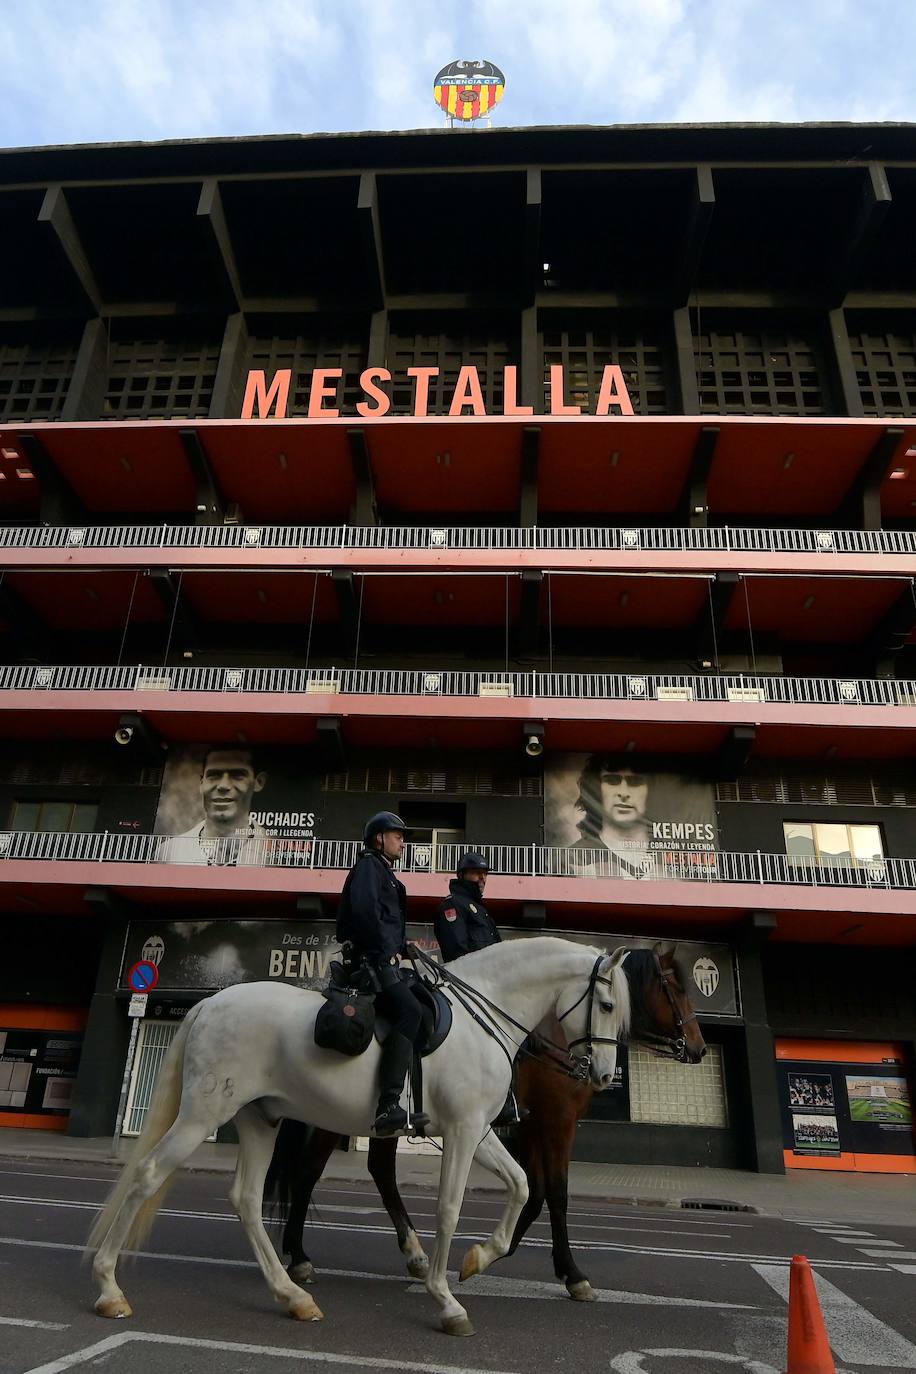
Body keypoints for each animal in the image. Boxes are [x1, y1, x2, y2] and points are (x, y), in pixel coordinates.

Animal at [87, 939, 631, 1335]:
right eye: (606, 1004)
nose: (603, 1076)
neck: (485, 1016)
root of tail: (209, 1003)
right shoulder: (462, 1131)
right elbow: (449, 1208)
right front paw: (446, 1299)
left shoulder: (477, 1130)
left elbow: (519, 1185)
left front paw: (478, 1259)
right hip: (204, 1114)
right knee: (148, 1175)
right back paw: (110, 1288)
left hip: (259, 1120)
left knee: (246, 1198)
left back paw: (294, 1296)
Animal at [260, 945, 708, 1297]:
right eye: (675, 990)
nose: (700, 1048)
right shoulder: (555, 1123)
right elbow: (556, 1193)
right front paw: (570, 1272)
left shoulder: (527, 1126)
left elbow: (533, 1189)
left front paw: (497, 1254)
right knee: (308, 1172)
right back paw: (299, 1256)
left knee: (379, 1170)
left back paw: (414, 1254)